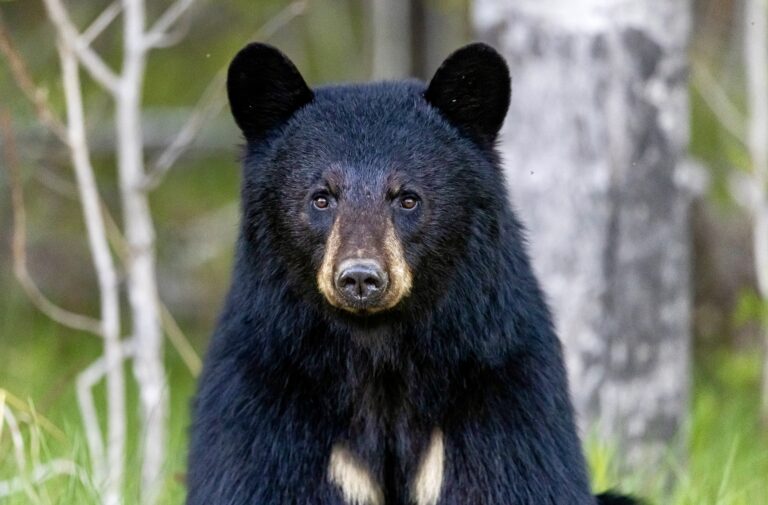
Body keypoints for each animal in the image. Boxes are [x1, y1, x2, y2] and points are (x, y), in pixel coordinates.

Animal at [186, 42, 639, 505]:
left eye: (407, 198)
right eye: (321, 198)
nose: (361, 277)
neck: (378, 354)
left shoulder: (500, 386)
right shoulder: (268, 392)